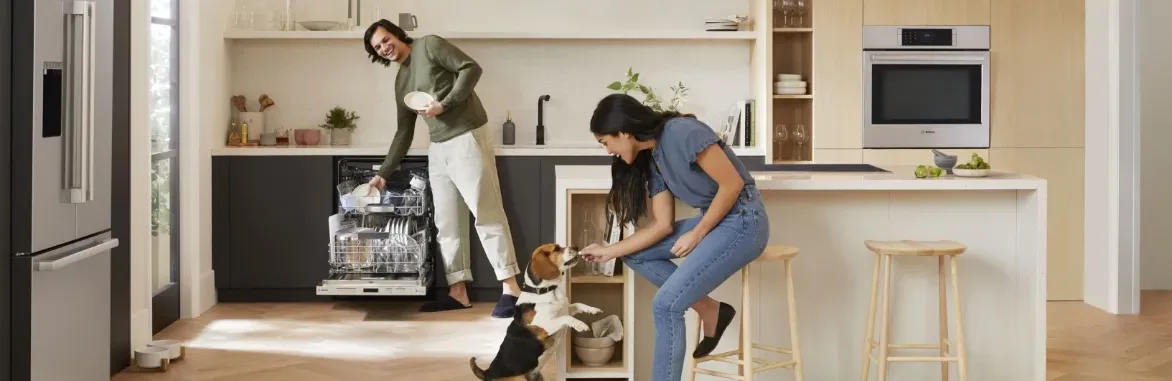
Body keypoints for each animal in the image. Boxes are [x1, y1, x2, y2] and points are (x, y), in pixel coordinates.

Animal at [468, 243, 600, 379]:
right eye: (556, 249)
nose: (576, 247)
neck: (545, 290)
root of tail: (487, 373)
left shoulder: (565, 309)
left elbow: (576, 305)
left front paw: (593, 310)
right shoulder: (543, 326)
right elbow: (566, 318)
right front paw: (580, 325)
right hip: (520, 378)